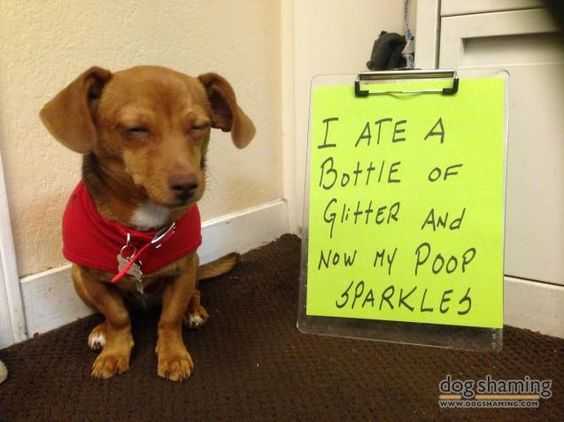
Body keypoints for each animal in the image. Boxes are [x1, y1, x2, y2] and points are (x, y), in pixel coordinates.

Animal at [40, 64, 256, 380]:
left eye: (199, 126)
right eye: (136, 129)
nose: (188, 184)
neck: (142, 224)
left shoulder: (182, 271)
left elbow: (169, 318)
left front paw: (173, 355)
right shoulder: (92, 279)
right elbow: (117, 316)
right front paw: (114, 350)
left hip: (194, 266)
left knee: (195, 292)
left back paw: (194, 311)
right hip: (77, 277)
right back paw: (100, 330)